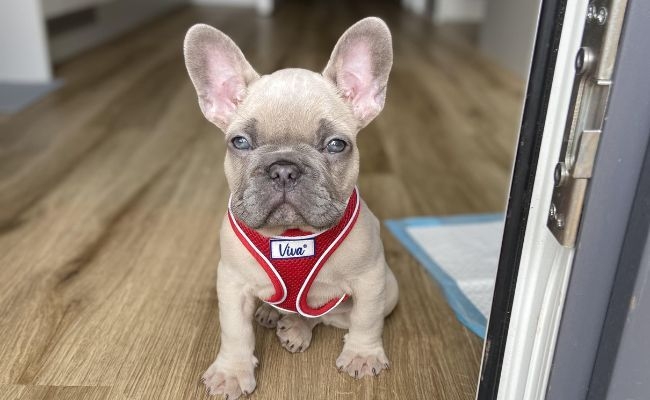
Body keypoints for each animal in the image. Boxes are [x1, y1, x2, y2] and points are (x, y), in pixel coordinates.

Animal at [181, 17, 394, 398]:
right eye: (240, 142)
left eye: (336, 145)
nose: (283, 168)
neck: (291, 235)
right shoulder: (232, 283)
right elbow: (235, 332)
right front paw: (232, 372)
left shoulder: (371, 279)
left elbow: (367, 319)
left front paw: (363, 354)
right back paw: (272, 314)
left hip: (389, 291)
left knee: (320, 316)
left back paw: (294, 326)